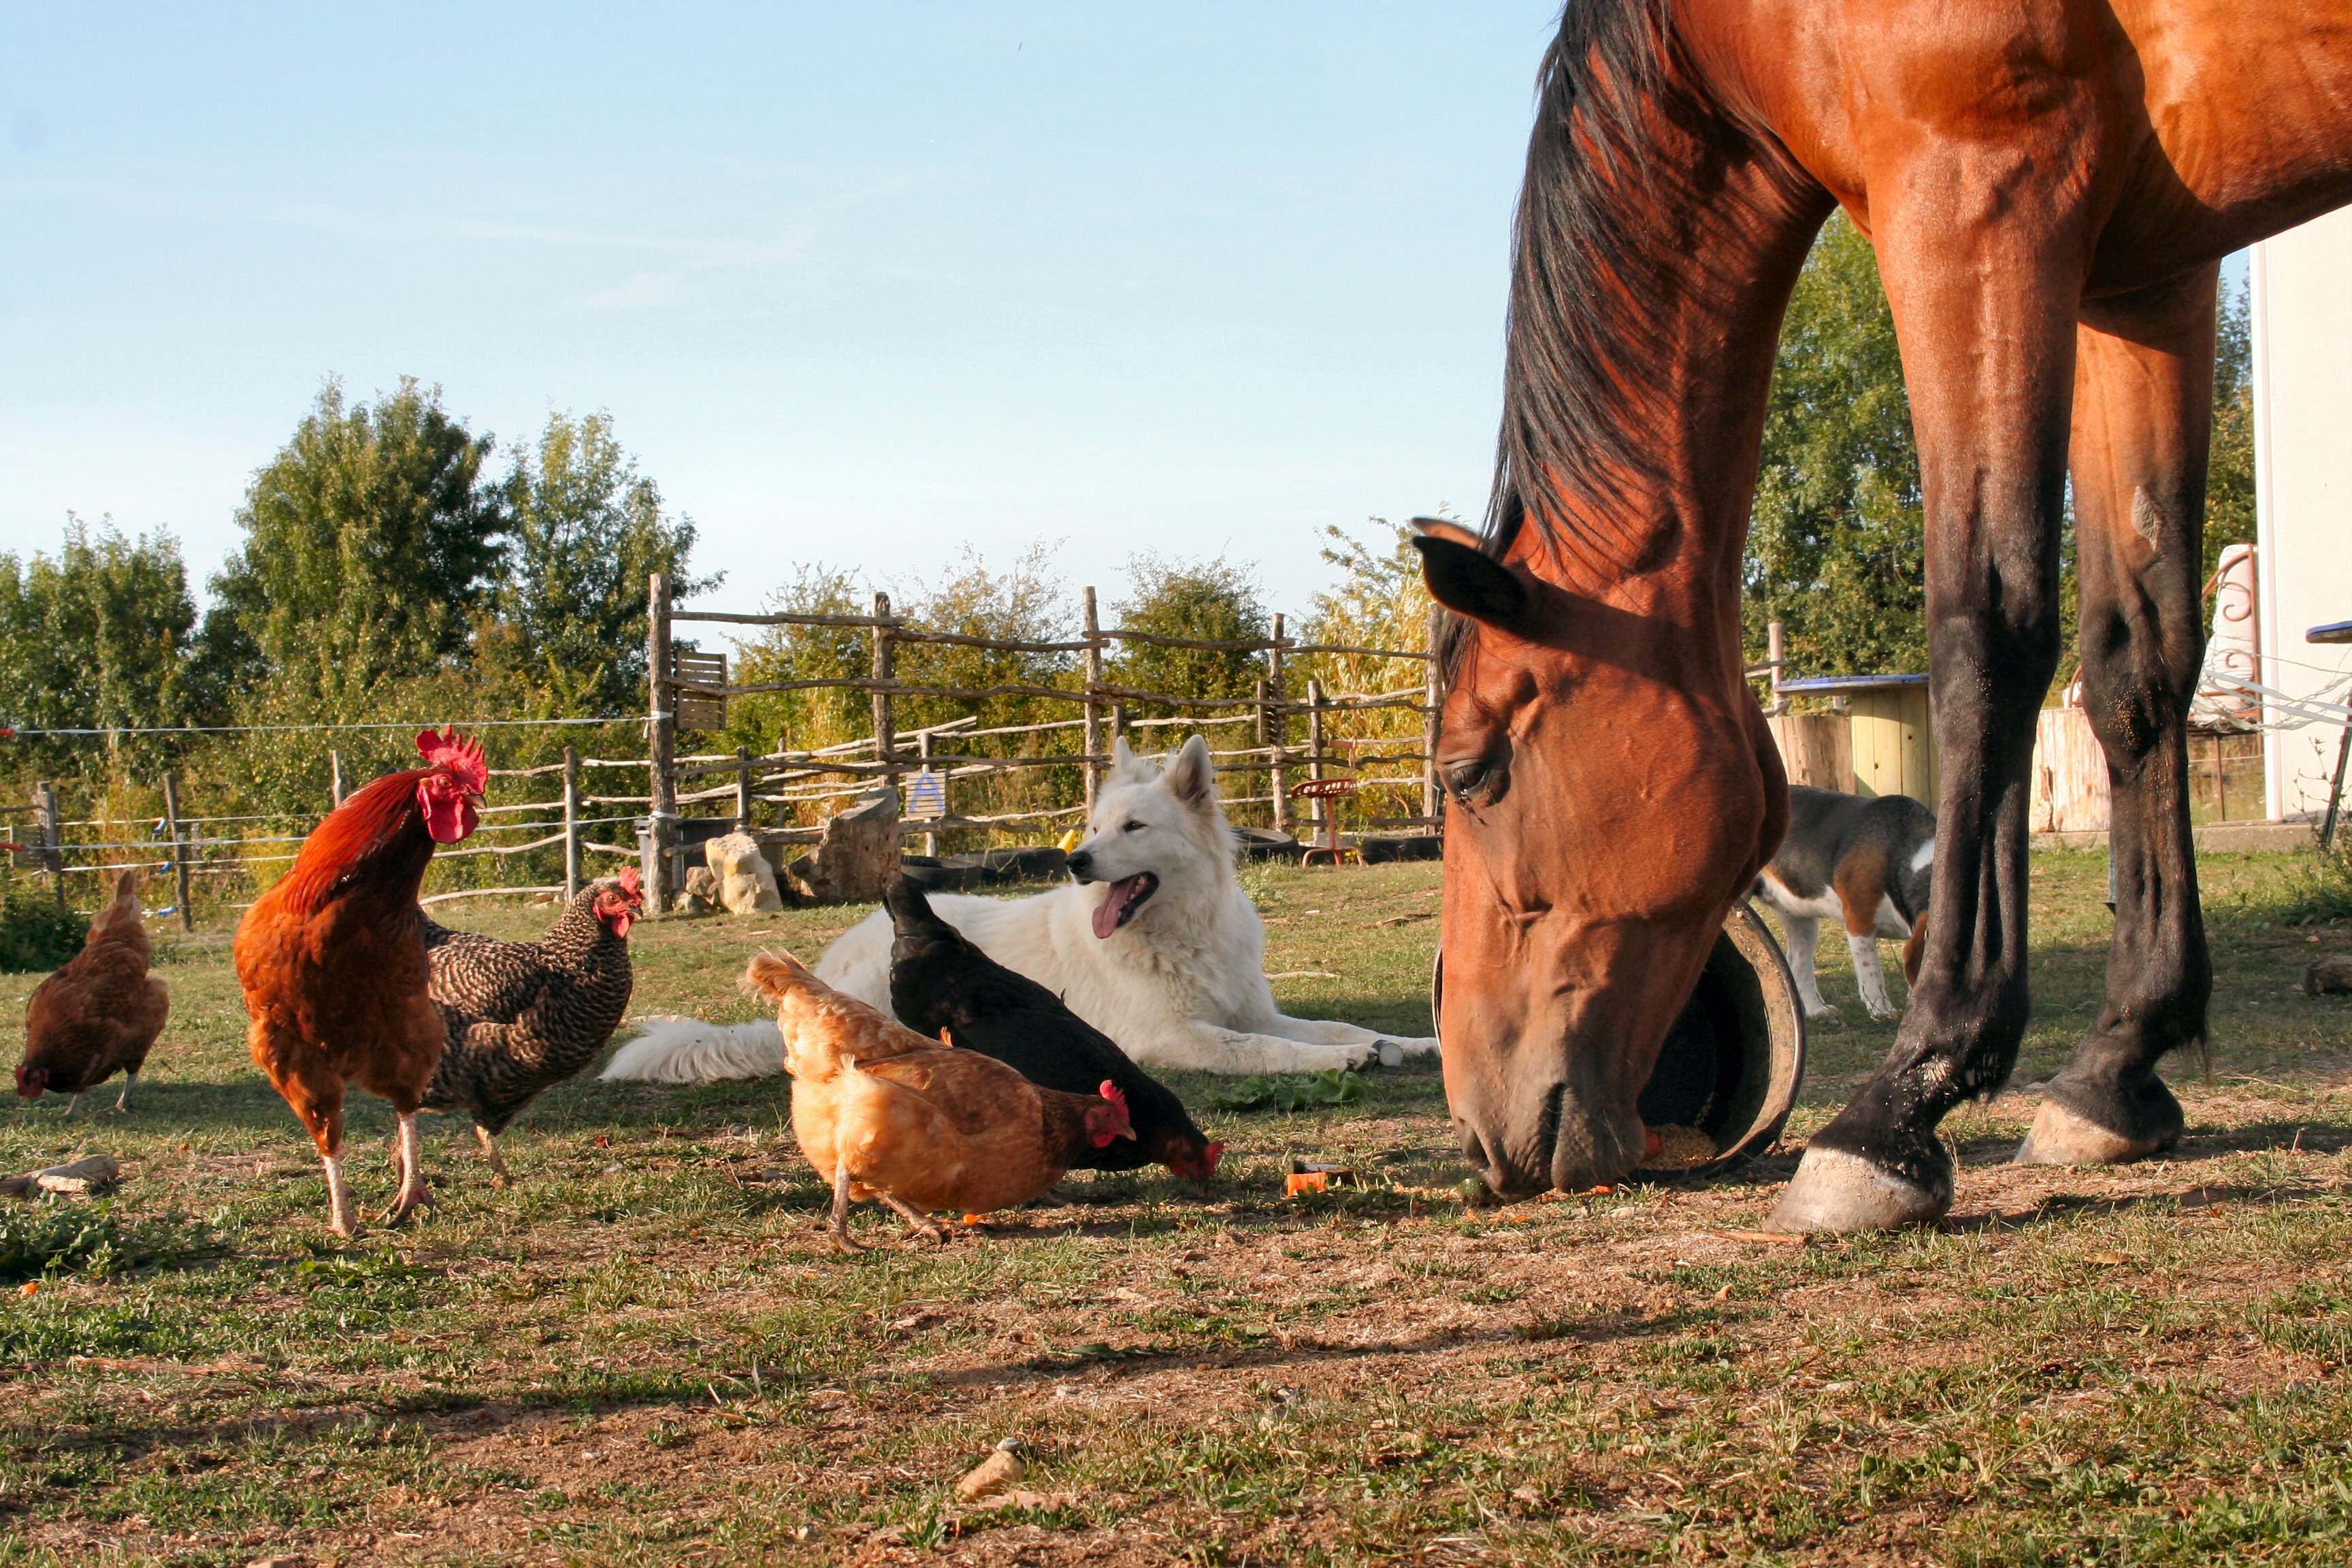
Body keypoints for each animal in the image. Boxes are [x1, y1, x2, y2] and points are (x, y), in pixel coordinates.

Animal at [1419, 0, 2352, 1230]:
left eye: (1472, 772)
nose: (1476, 1128)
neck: (1732, 34)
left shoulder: (1975, 190)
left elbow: (1985, 630)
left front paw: (1903, 1103)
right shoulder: (2145, 274)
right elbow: (2136, 662)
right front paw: (2117, 1067)